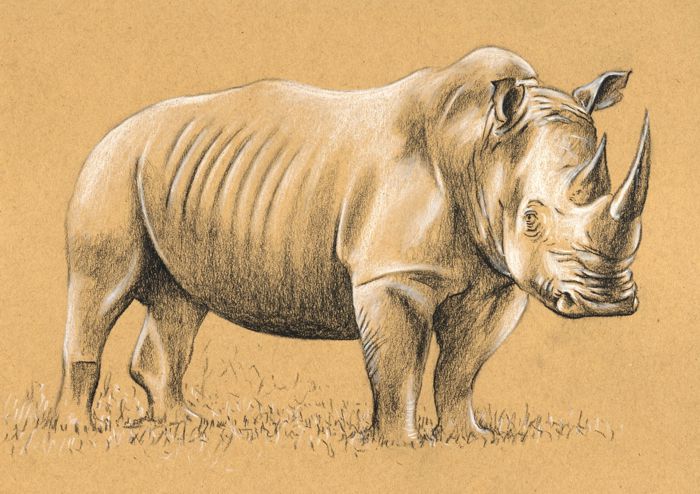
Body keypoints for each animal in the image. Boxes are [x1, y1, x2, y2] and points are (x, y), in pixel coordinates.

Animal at [56, 47, 650, 444]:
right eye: (530, 219)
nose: (609, 302)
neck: (480, 147)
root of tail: (118, 128)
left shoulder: (499, 280)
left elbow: (461, 366)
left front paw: (468, 439)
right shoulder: (394, 276)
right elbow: (400, 364)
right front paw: (399, 447)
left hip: (173, 173)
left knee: (180, 300)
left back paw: (182, 424)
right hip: (114, 165)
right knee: (102, 289)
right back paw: (79, 430)